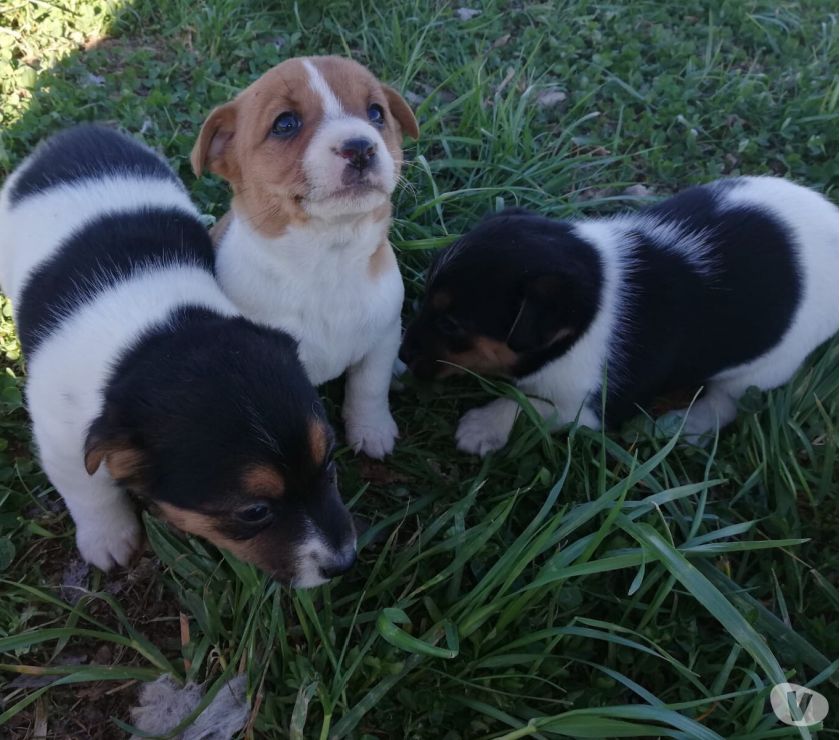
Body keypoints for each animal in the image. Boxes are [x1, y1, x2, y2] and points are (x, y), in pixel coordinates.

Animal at [0, 129, 356, 588]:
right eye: (253, 512)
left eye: (328, 460)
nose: (344, 563)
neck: (160, 334)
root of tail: (76, 134)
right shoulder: (61, 436)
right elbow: (88, 490)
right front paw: (108, 539)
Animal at [189, 57, 416, 460]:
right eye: (285, 124)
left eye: (376, 113)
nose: (360, 147)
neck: (327, 261)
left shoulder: (384, 334)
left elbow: (369, 386)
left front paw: (372, 430)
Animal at [402, 180, 840, 456]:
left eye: (452, 324)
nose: (404, 355)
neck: (595, 294)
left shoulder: (593, 407)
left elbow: (529, 405)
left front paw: (484, 426)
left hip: (764, 369)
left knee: (727, 402)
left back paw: (686, 426)